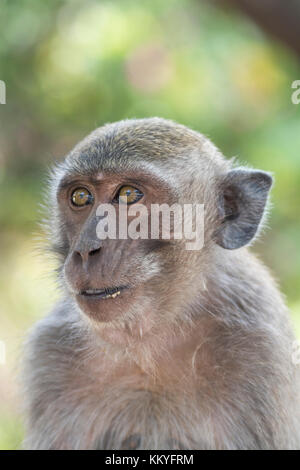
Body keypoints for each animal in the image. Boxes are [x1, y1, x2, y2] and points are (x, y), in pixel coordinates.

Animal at [22, 117, 300, 448]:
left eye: (129, 194)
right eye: (81, 197)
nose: (86, 250)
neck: (149, 342)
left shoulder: (259, 351)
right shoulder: (52, 352)